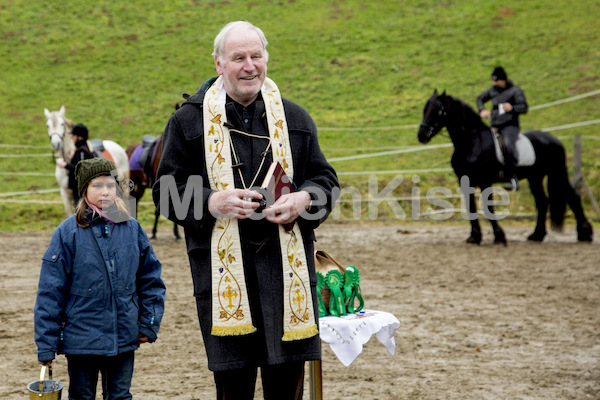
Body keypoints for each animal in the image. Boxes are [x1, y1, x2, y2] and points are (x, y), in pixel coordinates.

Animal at [420, 90, 592, 244]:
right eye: (425, 109)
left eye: (439, 110)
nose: (422, 135)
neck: (471, 142)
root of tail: (555, 140)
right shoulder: (465, 181)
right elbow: (471, 208)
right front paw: (474, 237)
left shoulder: (485, 181)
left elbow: (488, 208)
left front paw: (499, 236)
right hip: (535, 178)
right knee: (543, 202)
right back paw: (537, 235)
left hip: (557, 173)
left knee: (573, 197)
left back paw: (585, 234)